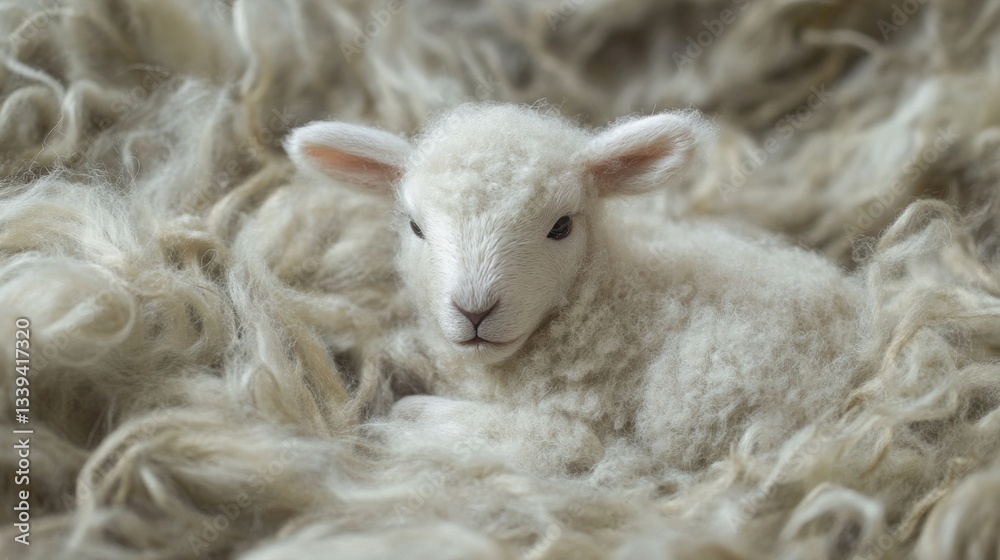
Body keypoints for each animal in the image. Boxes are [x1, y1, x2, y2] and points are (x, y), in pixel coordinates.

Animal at [285, 103, 865, 478]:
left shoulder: (591, 424)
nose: (475, 310)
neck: (614, 300)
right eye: (414, 227)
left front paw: (404, 422)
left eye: (561, 226)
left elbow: (562, 442)